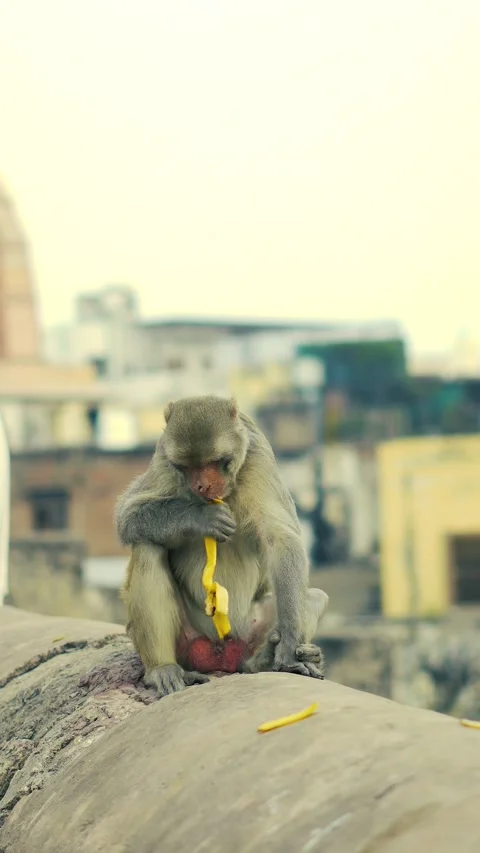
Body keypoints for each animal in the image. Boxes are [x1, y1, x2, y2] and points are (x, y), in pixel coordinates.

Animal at [115, 395, 329, 697]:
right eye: (186, 467)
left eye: (215, 462)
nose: (201, 486)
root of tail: (221, 654)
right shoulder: (163, 461)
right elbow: (128, 515)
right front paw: (200, 518)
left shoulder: (257, 459)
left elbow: (281, 539)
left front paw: (288, 645)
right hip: (188, 640)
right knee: (147, 547)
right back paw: (162, 668)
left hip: (247, 632)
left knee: (315, 598)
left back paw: (264, 660)